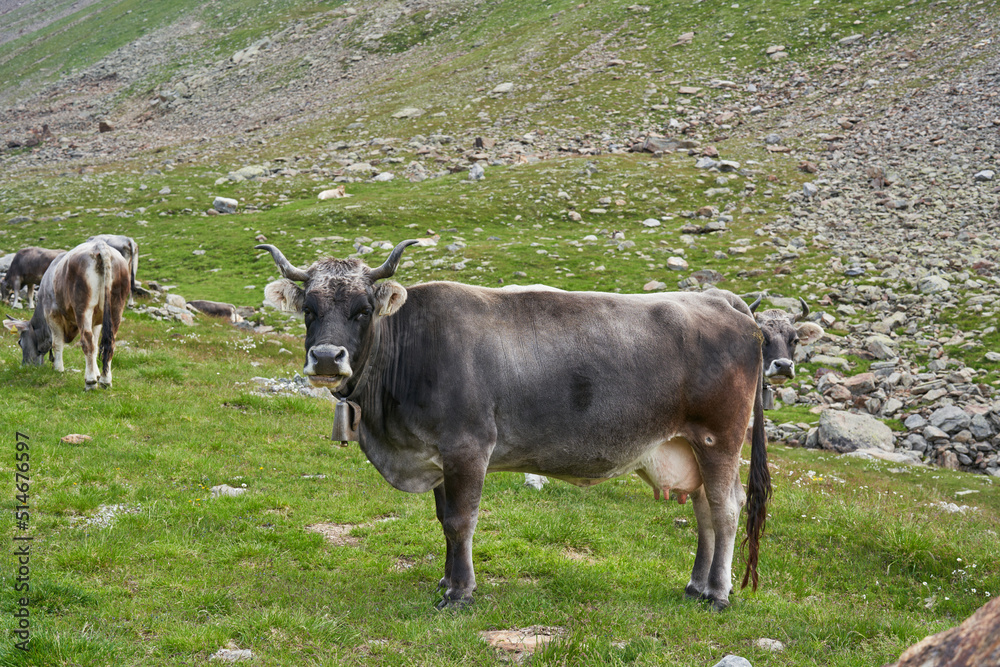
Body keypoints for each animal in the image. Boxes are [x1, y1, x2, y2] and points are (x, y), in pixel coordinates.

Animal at [3, 240, 130, 390]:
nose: (25, 365)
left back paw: (90, 382)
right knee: (109, 343)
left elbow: (57, 343)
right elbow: (95, 346)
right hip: (115, 307)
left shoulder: (52, 314)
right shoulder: (97, 321)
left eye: (20, 342)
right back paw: (105, 380)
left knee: (87, 342)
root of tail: (99, 245)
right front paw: (97, 373)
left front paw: (58, 369)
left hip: (83, 308)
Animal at [257, 240, 770, 611]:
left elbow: (461, 520)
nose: (327, 358)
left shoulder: (468, 447)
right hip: (688, 446)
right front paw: (446, 580)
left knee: (726, 509)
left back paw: (718, 594)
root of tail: (720, 300)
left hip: (719, 439)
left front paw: (460, 593)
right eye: (309, 310)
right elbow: (444, 520)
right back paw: (696, 586)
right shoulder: (438, 456)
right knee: (704, 511)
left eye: (362, 310)